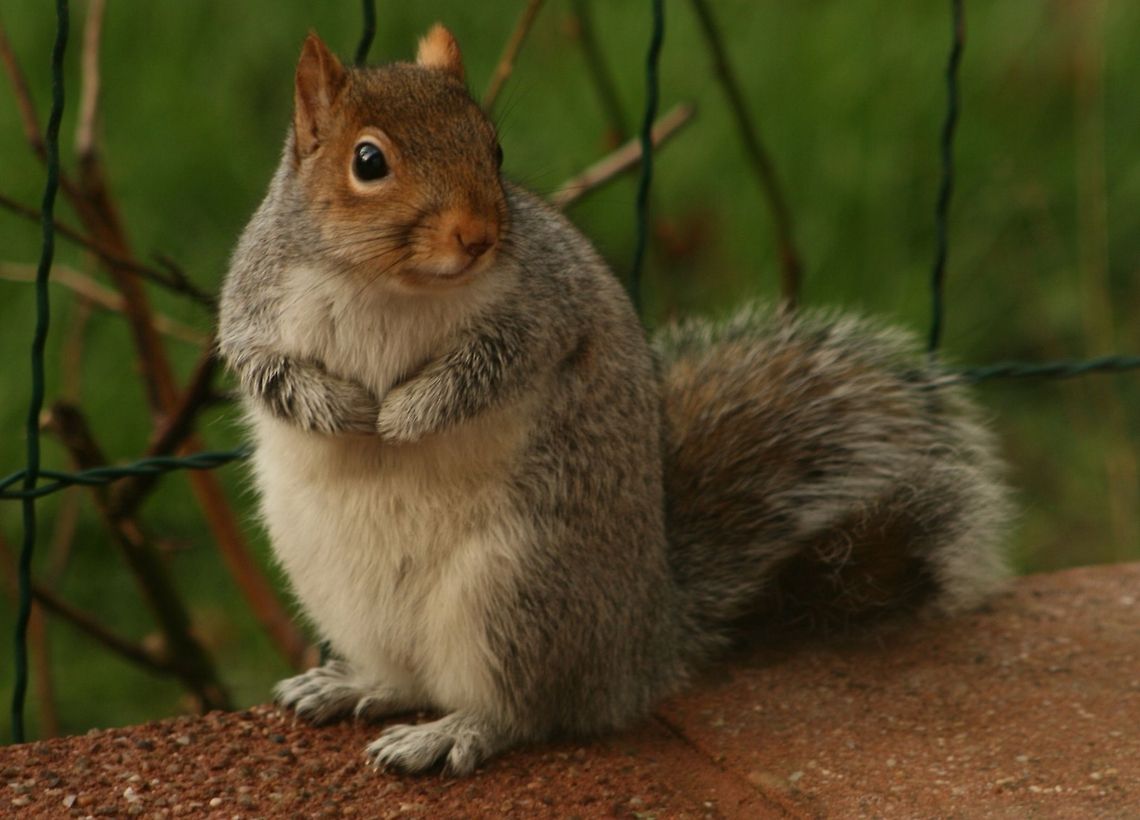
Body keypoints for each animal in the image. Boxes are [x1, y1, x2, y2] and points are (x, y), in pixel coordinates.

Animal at [218, 26, 1012, 776]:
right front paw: (341, 409)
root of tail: (643, 649)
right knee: (410, 678)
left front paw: (406, 413)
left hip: (517, 592)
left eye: (494, 148)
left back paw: (451, 733)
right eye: (368, 162)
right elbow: (263, 366)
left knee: (526, 709)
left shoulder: (542, 313)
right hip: (343, 588)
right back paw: (354, 685)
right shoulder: (254, 302)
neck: (387, 283)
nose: (479, 237)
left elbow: (489, 368)